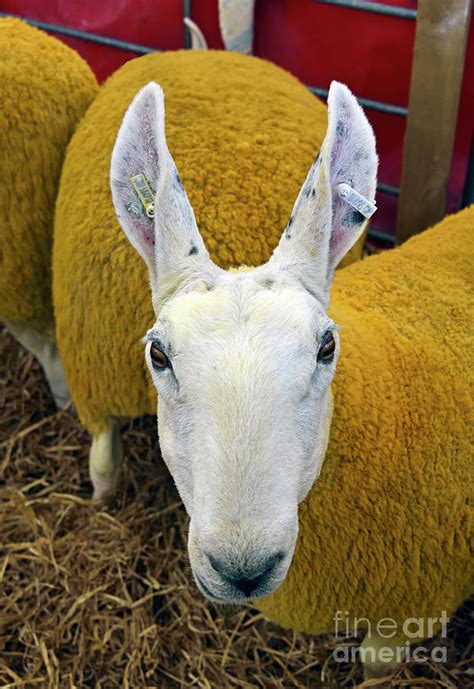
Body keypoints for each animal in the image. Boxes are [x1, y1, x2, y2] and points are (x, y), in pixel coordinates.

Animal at [52, 49, 362, 500]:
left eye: (328, 347)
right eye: (157, 355)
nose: (243, 527)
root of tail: (204, 50)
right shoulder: (96, 388)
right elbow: (104, 469)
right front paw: (99, 502)